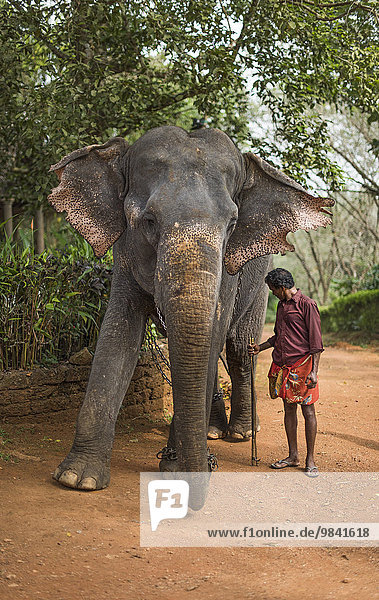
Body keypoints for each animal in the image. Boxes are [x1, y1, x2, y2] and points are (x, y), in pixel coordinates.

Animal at [46, 125, 332, 492]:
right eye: (149, 221)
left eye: (232, 225)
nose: (199, 470)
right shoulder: (124, 252)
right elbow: (118, 333)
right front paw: (77, 479)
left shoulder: (230, 270)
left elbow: (213, 334)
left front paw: (173, 468)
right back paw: (211, 431)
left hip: (260, 279)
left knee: (238, 348)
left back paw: (241, 433)